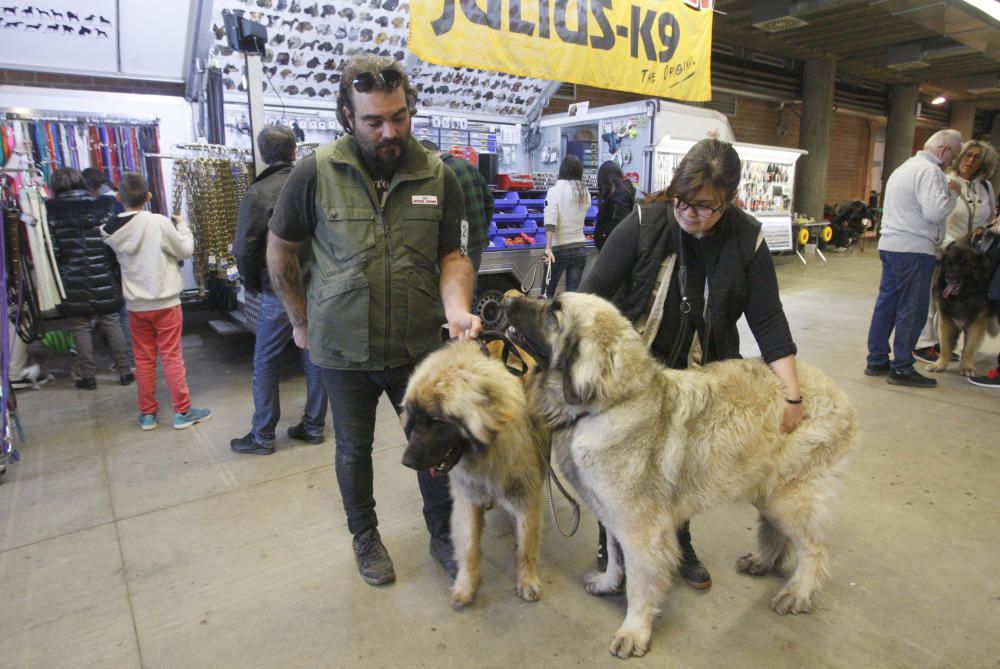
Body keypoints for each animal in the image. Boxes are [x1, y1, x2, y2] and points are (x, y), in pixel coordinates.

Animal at [402, 342, 552, 608]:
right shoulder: (468, 497)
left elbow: (526, 545)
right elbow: (469, 544)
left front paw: (527, 581)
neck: (488, 453)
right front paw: (466, 585)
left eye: (435, 421)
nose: (406, 462)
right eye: (414, 419)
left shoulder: (526, 496)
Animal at [508, 290, 860, 656]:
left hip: (789, 497)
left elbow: (639, 582)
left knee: (815, 548)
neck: (608, 404)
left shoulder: (640, 528)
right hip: (768, 490)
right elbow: (615, 557)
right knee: (778, 534)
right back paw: (762, 562)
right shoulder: (615, 516)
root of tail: (835, 393)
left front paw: (634, 632)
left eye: (553, 312)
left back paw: (797, 593)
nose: (507, 303)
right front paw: (607, 583)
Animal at [924, 240, 996, 376]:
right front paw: (940, 364)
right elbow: (945, 346)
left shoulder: (976, 324)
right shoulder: (946, 321)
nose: (949, 277)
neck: (963, 297)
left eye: (965, 265)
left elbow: (969, 348)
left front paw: (967, 366)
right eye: (948, 264)